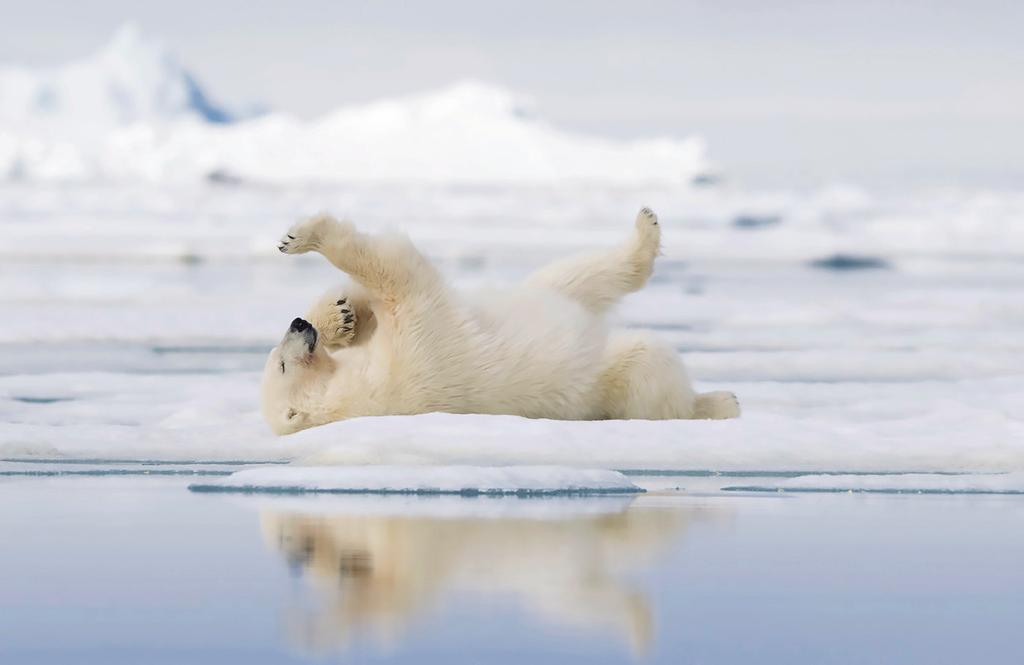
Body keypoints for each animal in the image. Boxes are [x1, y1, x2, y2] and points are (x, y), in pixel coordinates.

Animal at [264, 209, 741, 436]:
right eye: (283, 366)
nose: (296, 326)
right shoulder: (411, 352)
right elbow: (398, 271)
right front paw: (304, 235)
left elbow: (371, 294)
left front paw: (339, 315)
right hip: (607, 374)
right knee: (648, 367)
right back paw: (720, 401)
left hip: (546, 295)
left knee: (575, 276)